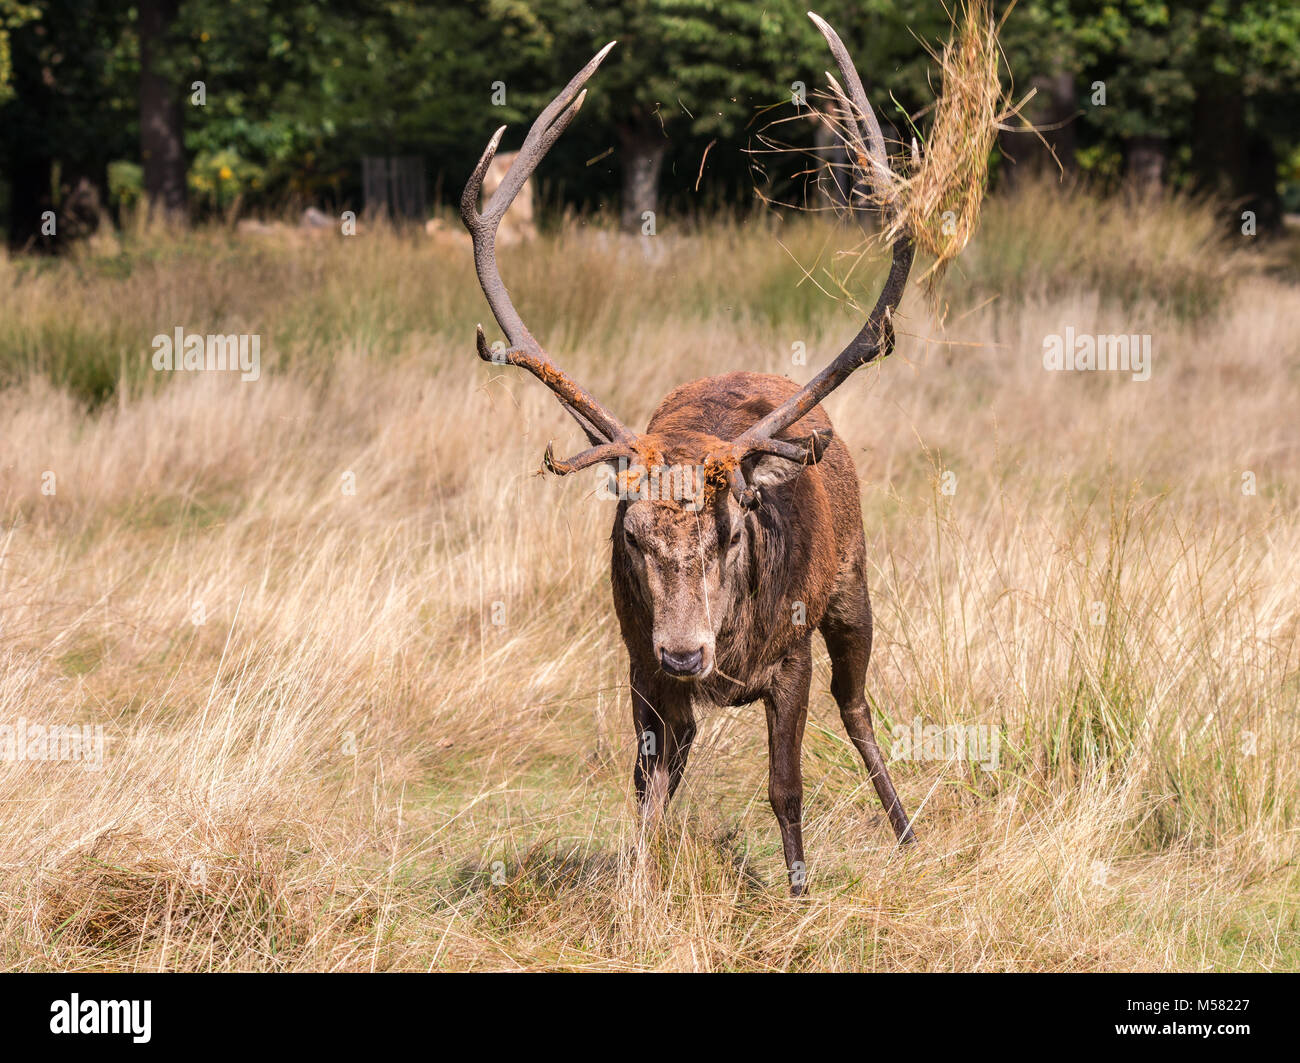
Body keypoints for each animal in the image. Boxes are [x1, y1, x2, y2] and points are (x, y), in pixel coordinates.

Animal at [462, 13, 916, 895]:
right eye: (632, 536)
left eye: (731, 529)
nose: (686, 649)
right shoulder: (637, 662)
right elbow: (646, 788)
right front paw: (636, 888)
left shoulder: (790, 651)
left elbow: (785, 786)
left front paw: (799, 891)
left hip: (854, 581)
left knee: (858, 705)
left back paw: (910, 832)